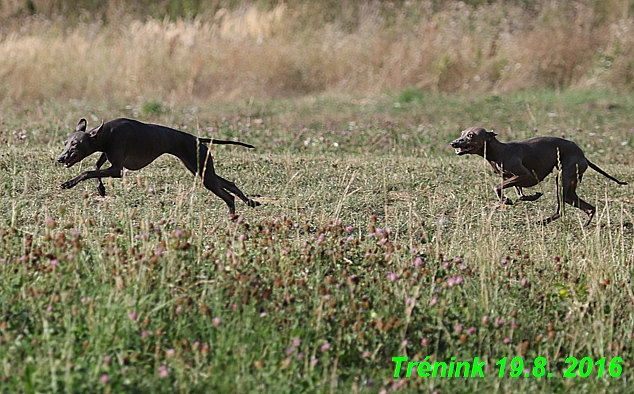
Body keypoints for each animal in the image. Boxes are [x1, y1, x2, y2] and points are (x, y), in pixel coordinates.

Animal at [452, 126, 624, 225]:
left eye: (471, 135)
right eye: (462, 133)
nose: (453, 143)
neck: (498, 151)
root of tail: (583, 156)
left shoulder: (525, 174)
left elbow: (497, 187)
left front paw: (506, 200)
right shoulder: (512, 178)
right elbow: (520, 194)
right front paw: (531, 196)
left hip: (561, 180)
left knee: (560, 210)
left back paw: (542, 222)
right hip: (568, 188)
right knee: (588, 208)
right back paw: (585, 223)